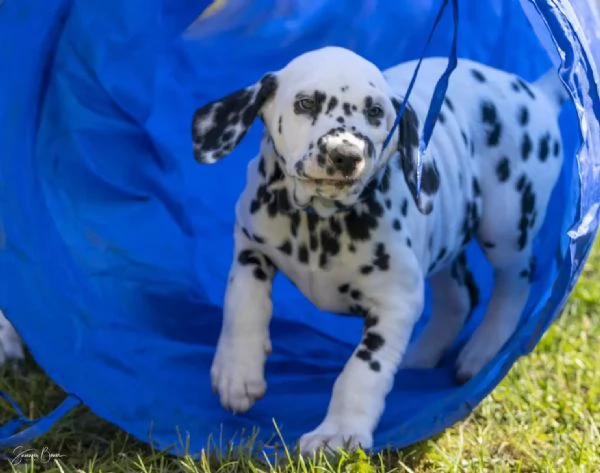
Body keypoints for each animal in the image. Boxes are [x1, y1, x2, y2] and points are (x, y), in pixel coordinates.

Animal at [190, 46, 564, 452]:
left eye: (375, 112)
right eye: (305, 103)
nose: (346, 154)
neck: (319, 222)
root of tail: (538, 93)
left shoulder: (396, 303)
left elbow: (361, 370)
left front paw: (338, 431)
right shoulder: (250, 245)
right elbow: (242, 305)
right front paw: (236, 373)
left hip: (506, 226)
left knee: (514, 282)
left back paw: (484, 350)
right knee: (461, 296)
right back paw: (422, 355)